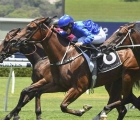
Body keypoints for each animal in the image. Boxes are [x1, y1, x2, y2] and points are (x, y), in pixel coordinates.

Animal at [4, 17, 140, 120]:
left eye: (30, 28)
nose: (15, 40)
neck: (63, 57)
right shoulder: (58, 85)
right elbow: (36, 92)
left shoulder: (79, 87)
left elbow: (63, 105)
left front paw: (83, 109)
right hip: (115, 82)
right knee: (125, 105)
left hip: (127, 77)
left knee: (126, 100)